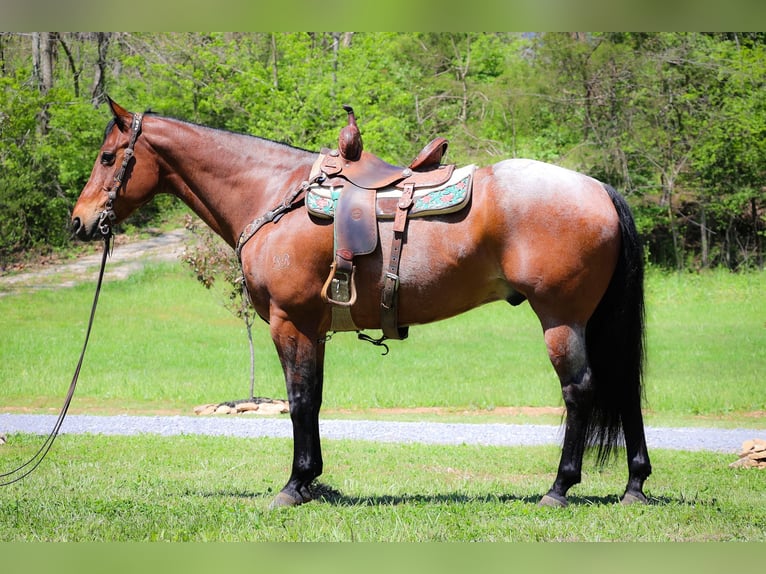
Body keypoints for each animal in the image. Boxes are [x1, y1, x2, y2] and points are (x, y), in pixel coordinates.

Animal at [72, 99, 652, 508]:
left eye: (107, 157)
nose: (79, 221)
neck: (273, 195)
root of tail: (598, 188)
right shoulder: (314, 327)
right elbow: (314, 399)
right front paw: (311, 481)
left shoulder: (289, 322)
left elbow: (298, 400)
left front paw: (294, 484)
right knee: (623, 389)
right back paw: (635, 484)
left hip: (561, 318)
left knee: (580, 391)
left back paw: (559, 487)